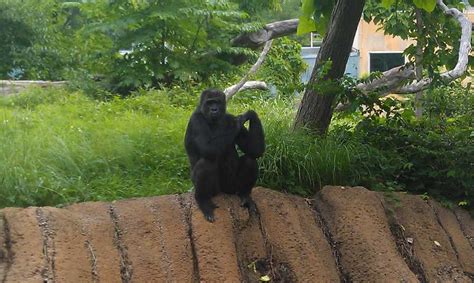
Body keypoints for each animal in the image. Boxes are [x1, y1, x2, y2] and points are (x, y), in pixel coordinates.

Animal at [185, 89, 266, 222]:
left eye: (217, 102)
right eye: (209, 102)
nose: (214, 109)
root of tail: (224, 191)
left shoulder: (228, 116)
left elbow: (255, 150)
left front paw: (251, 114)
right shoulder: (196, 120)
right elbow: (208, 148)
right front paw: (238, 121)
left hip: (231, 188)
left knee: (250, 160)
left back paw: (245, 195)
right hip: (215, 191)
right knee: (206, 163)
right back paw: (203, 200)